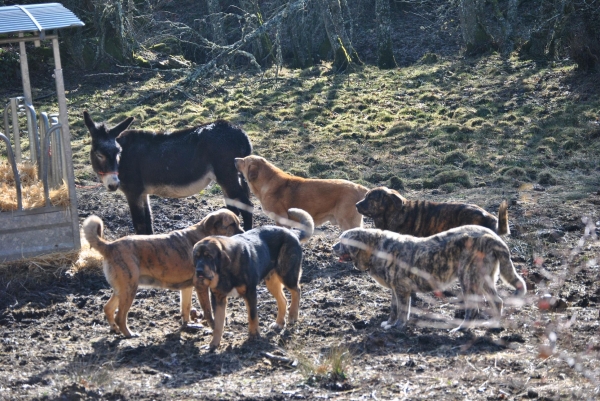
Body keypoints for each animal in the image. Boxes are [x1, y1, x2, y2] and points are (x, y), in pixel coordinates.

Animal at [82, 208, 244, 336]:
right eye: (232, 224)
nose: (244, 233)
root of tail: (109, 246)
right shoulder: (201, 285)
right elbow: (208, 312)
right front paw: (215, 328)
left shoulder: (187, 288)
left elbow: (185, 308)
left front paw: (188, 325)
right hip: (129, 289)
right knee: (120, 316)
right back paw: (129, 334)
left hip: (122, 289)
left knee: (108, 308)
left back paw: (115, 329)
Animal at [193, 208, 316, 348]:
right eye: (196, 257)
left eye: (209, 256)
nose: (199, 271)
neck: (225, 271)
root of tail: (292, 232)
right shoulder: (218, 299)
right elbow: (218, 323)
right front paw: (214, 344)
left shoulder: (250, 292)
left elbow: (252, 316)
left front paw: (254, 335)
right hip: (272, 282)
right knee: (283, 300)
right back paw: (279, 323)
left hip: (286, 274)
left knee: (297, 290)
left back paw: (292, 316)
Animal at [332, 227, 524, 330]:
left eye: (343, 240)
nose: (333, 247)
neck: (375, 248)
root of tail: (493, 236)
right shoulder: (396, 289)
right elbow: (394, 308)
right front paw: (390, 323)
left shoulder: (402, 289)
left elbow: (402, 310)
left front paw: (398, 326)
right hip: (483, 280)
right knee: (497, 301)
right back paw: (493, 323)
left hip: (468, 279)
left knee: (473, 309)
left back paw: (461, 328)